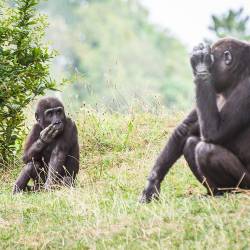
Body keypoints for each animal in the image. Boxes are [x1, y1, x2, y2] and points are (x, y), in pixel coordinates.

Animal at [140, 37, 250, 203]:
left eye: (211, 63)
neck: (237, 78)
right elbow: (185, 130)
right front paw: (152, 183)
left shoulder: (246, 90)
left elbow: (214, 133)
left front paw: (200, 64)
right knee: (191, 143)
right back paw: (215, 193)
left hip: (248, 183)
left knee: (206, 150)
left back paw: (232, 192)